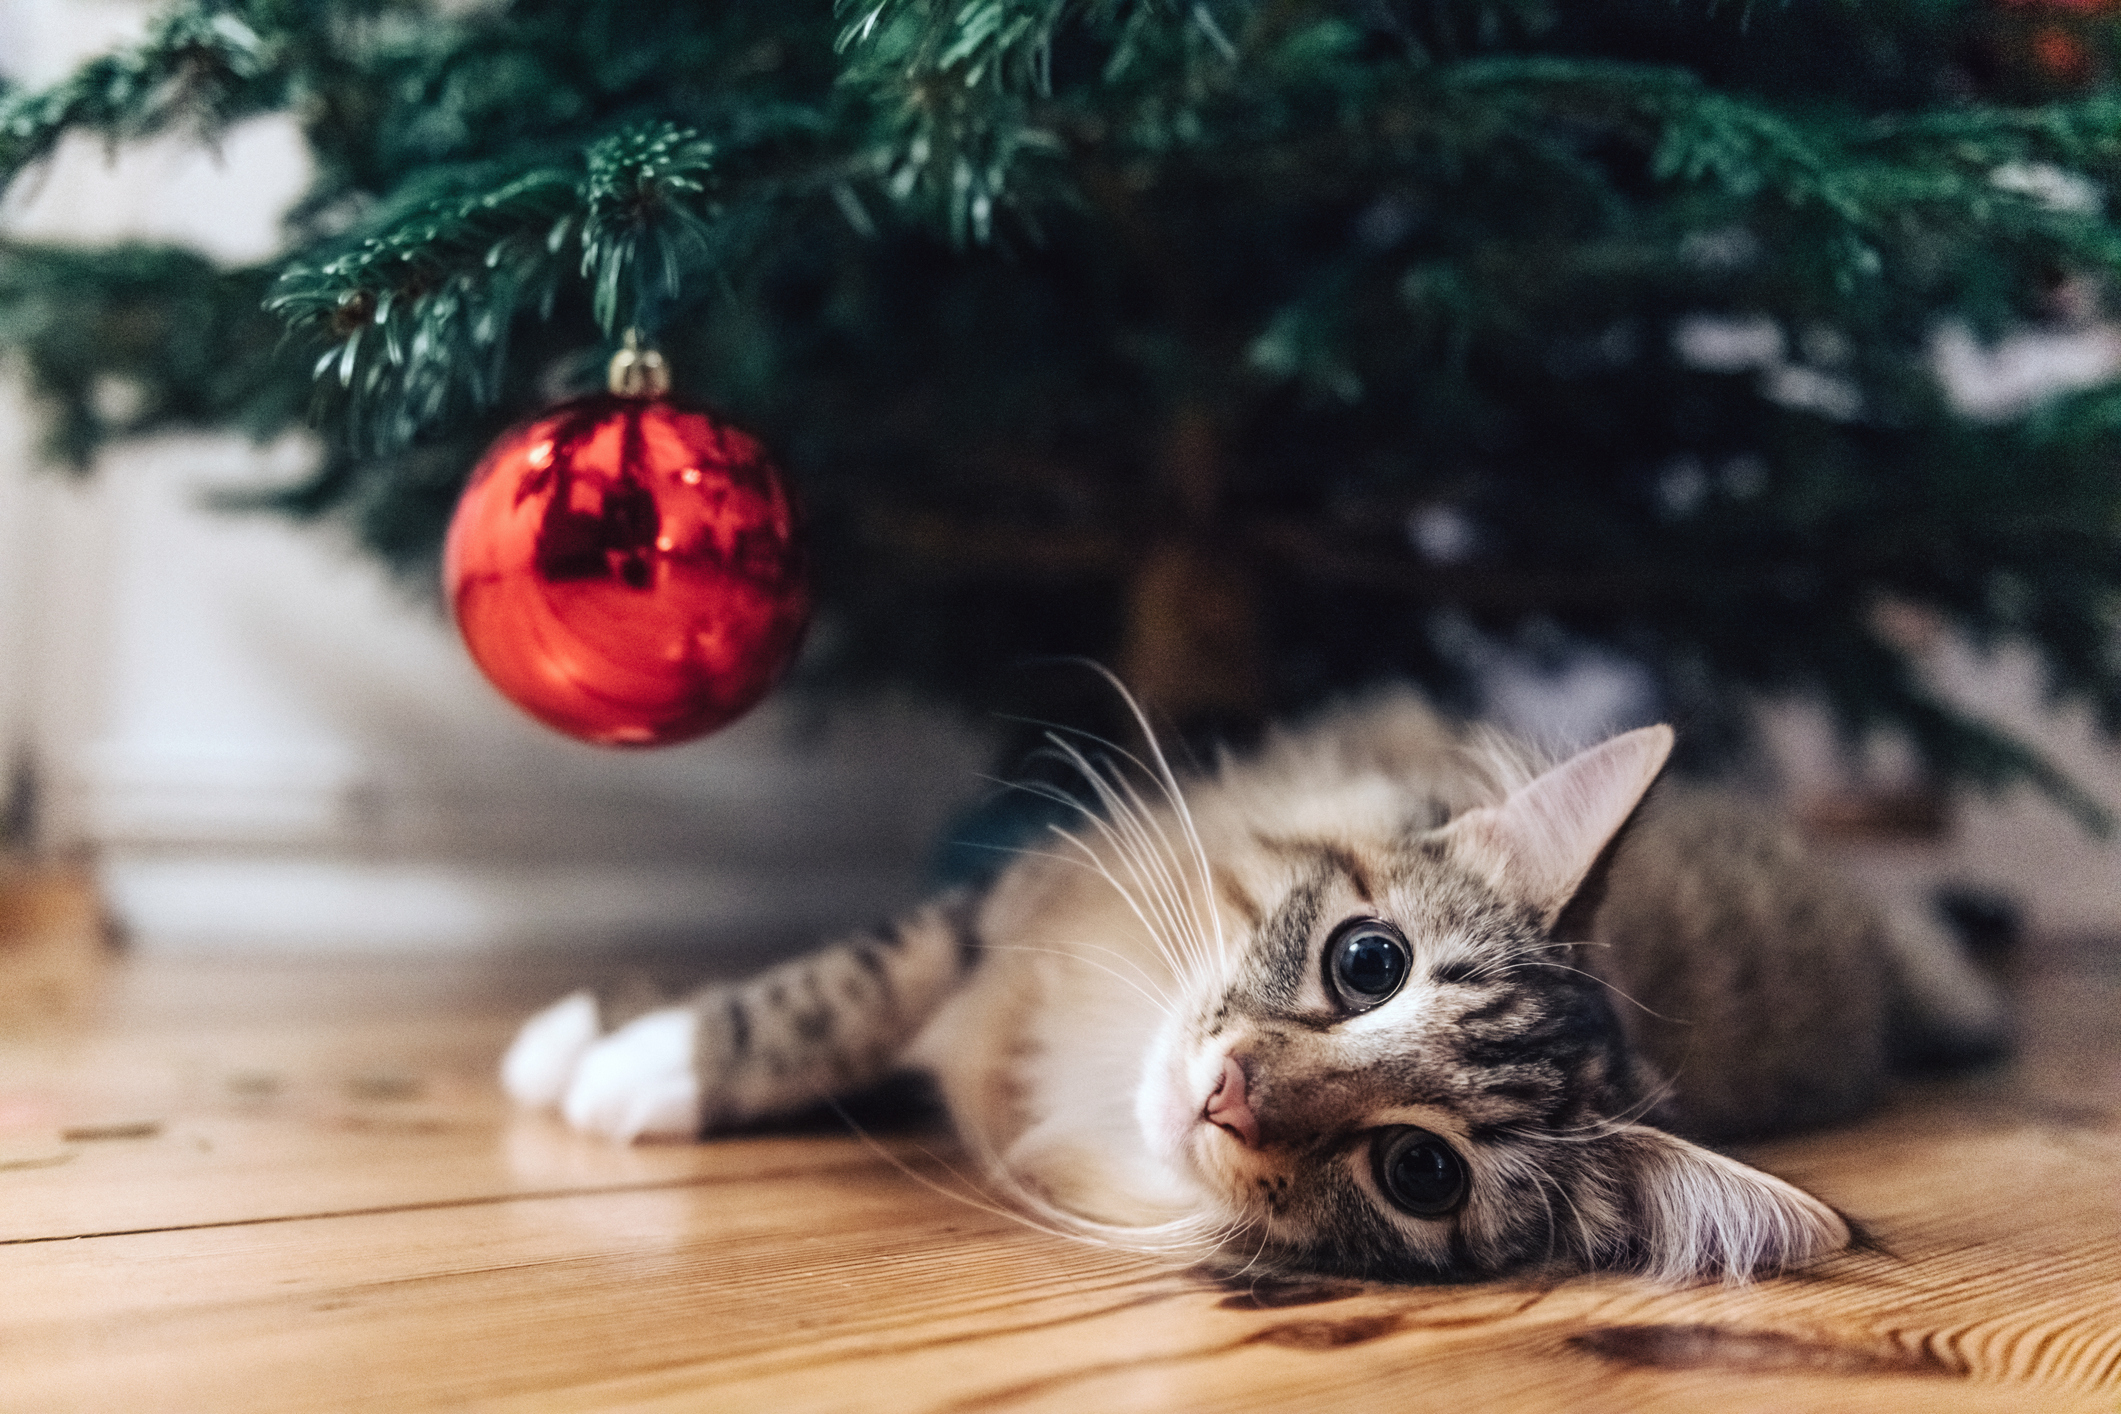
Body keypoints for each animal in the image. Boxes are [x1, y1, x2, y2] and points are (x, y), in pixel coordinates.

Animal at [496, 691, 2002, 1288]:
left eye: (1420, 1171)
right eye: (1366, 961)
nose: (1227, 1091)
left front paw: (635, 1067)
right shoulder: (1002, 910)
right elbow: (840, 983)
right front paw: (614, 1040)